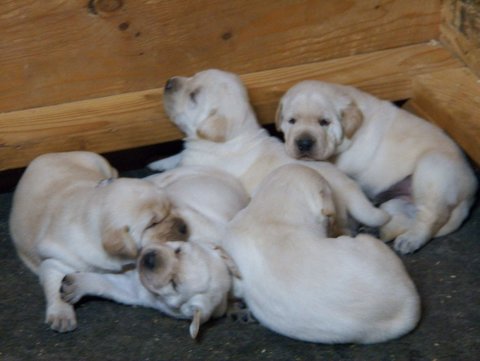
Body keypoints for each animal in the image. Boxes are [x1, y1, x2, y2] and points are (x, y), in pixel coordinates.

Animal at [9, 150, 186, 330]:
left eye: (170, 207)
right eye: (152, 224)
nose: (184, 227)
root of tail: (54, 154)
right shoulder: (54, 262)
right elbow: (56, 286)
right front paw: (61, 314)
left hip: (99, 163)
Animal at [60, 165, 249, 336]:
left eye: (173, 284)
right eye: (178, 250)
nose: (149, 259)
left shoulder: (137, 291)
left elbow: (106, 284)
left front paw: (74, 286)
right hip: (168, 178)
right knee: (148, 180)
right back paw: (107, 182)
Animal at [148, 69, 388, 233]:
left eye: (193, 96)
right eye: (192, 76)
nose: (168, 82)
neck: (234, 135)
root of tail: (350, 187)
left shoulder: (195, 164)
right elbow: (177, 156)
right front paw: (158, 162)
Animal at [276, 80, 478, 252]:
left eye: (324, 122)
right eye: (292, 121)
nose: (304, 143)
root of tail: (471, 194)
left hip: (433, 169)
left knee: (431, 217)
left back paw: (411, 240)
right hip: (399, 200)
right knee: (401, 217)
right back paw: (378, 231)